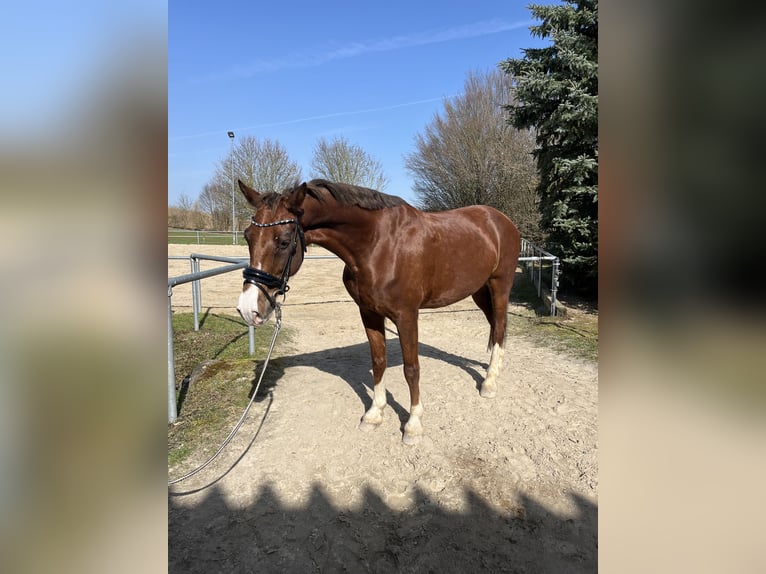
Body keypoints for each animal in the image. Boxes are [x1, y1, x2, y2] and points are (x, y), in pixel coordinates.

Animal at [236, 179, 521, 445]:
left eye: (284, 241)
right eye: (248, 236)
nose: (248, 308)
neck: (378, 244)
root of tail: (501, 220)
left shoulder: (407, 316)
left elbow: (411, 369)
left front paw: (413, 425)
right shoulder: (369, 313)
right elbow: (378, 362)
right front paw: (374, 414)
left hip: (500, 286)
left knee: (500, 327)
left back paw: (489, 382)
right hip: (479, 290)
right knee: (495, 327)